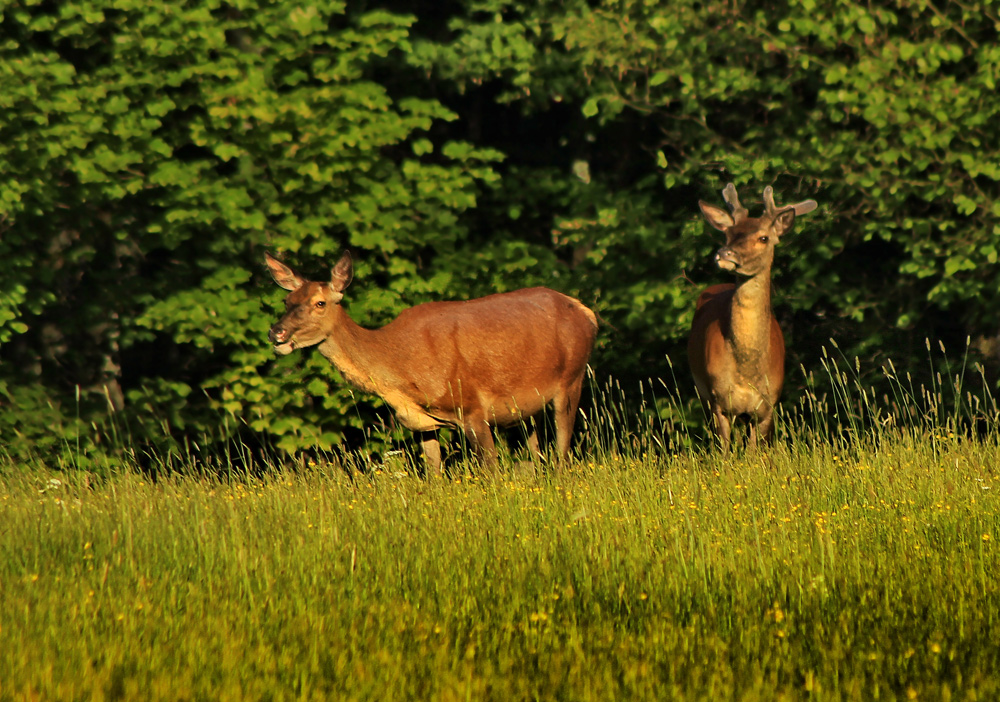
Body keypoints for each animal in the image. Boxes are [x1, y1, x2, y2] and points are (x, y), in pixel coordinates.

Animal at [262, 250, 596, 476]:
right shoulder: (423, 422)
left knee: (562, 453)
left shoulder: (472, 407)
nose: (276, 332)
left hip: (572, 377)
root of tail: (586, 311)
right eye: (286, 301)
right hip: (529, 408)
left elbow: (491, 471)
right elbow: (433, 476)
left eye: (320, 303)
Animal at [688, 184, 820, 454]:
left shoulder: (768, 405)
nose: (724, 253)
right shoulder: (718, 399)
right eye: (728, 234)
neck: (746, 371)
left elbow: (754, 455)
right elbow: (724, 453)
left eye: (763, 238)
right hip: (704, 395)